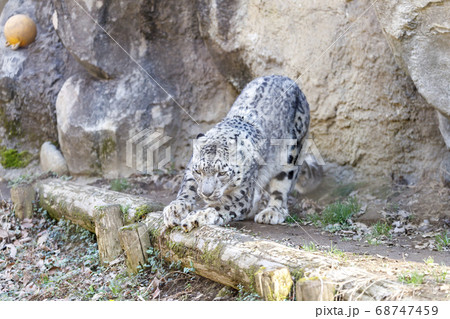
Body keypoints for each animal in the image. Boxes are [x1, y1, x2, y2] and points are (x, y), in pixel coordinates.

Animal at [163, 75, 318, 232]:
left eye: (222, 173)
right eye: (199, 171)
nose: (207, 193)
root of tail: (285, 78)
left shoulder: (242, 195)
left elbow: (220, 206)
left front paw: (197, 216)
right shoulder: (191, 169)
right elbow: (187, 187)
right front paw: (175, 210)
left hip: (291, 155)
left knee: (281, 188)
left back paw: (272, 212)